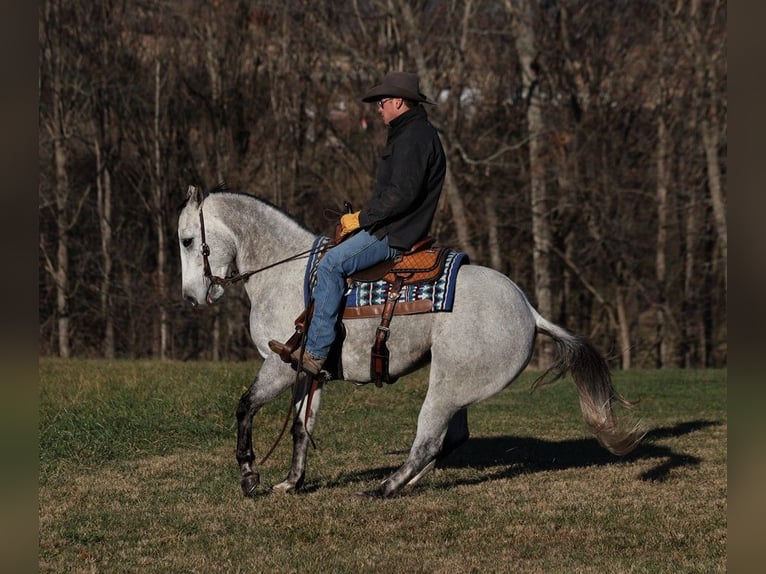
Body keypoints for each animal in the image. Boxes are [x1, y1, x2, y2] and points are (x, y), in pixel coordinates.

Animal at [178, 188, 640, 500]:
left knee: (429, 441)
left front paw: (248, 475)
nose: (192, 297)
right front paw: (291, 482)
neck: (286, 273)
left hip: (446, 388)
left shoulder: (279, 365)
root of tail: (529, 310)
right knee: (450, 440)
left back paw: (385, 487)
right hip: (456, 391)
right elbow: (300, 428)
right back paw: (408, 482)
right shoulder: (309, 372)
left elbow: (245, 406)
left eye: (186, 240)